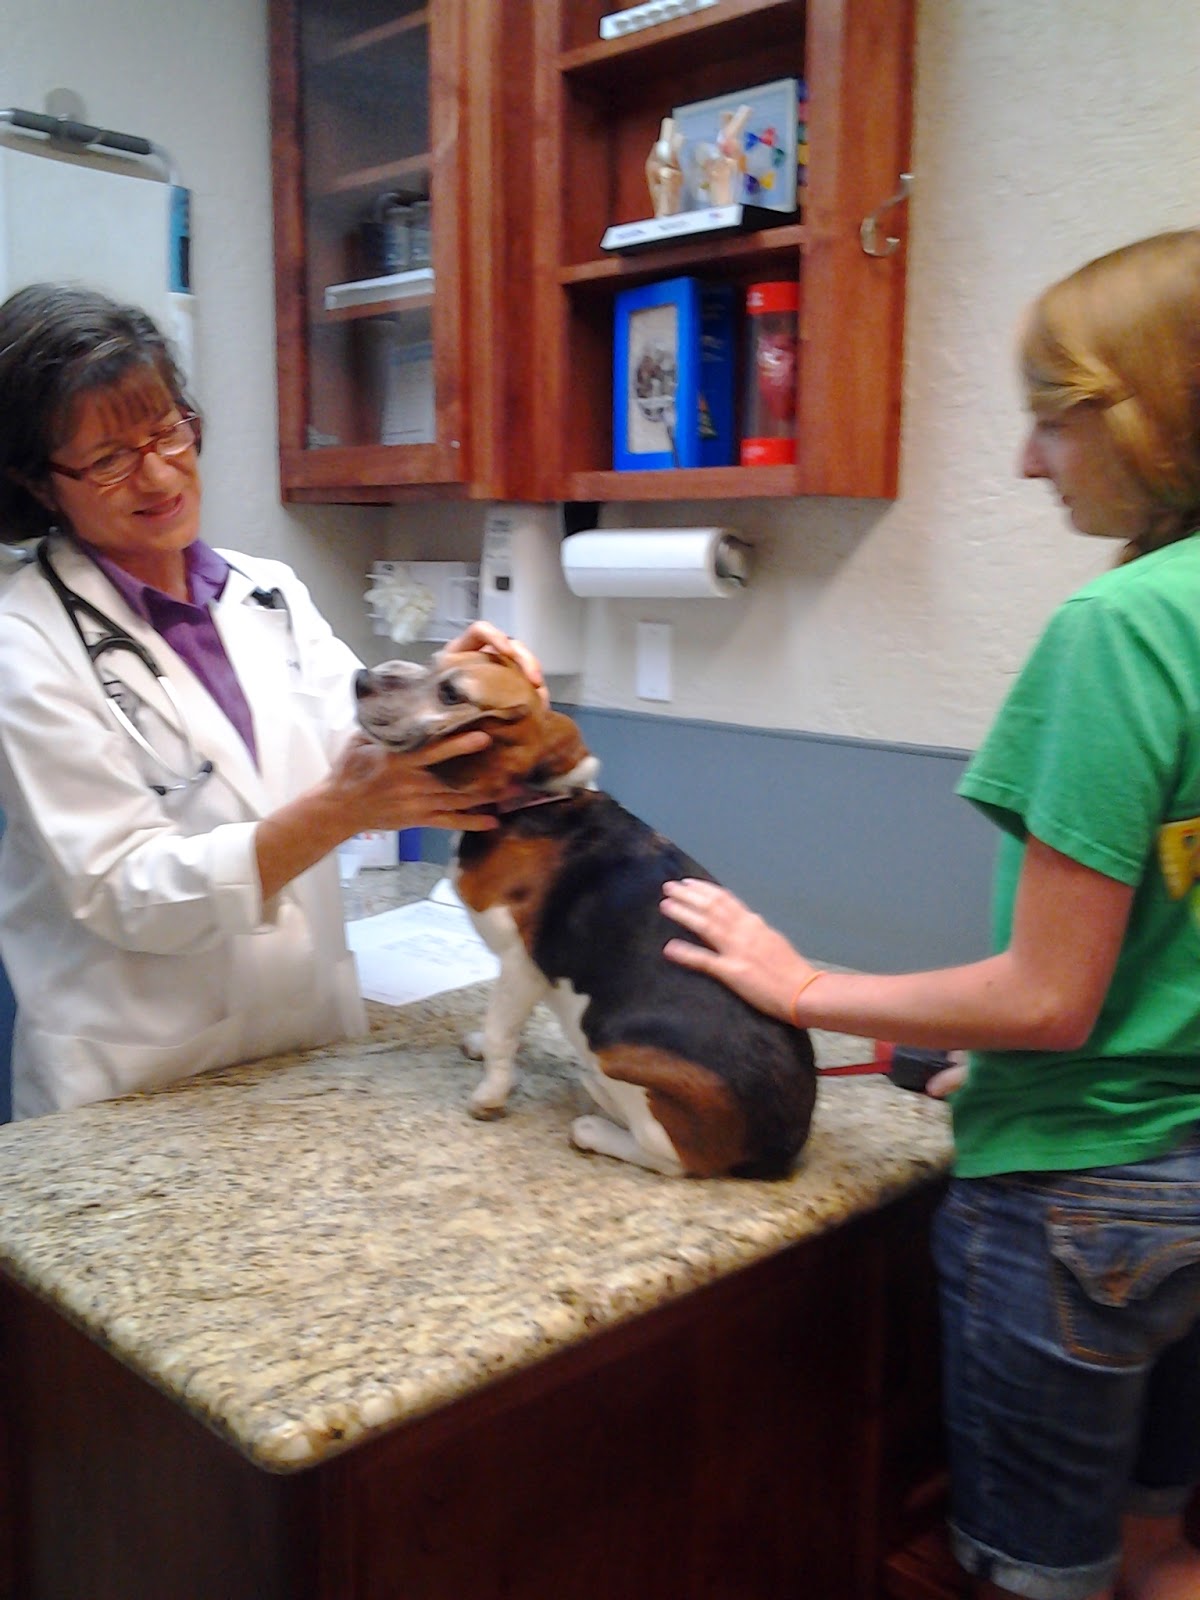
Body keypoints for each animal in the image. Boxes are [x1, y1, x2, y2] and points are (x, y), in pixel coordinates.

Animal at [354, 652, 816, 1178]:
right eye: (433, 662)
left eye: (452, 694)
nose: (361, 680)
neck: (534, 802)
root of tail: (782, 1146)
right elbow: (507, 1026)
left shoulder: (520, 962)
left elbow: (501, 1031)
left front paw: (490, 1094)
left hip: (616, 1054)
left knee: (672, 1157)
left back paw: (594, 1129)